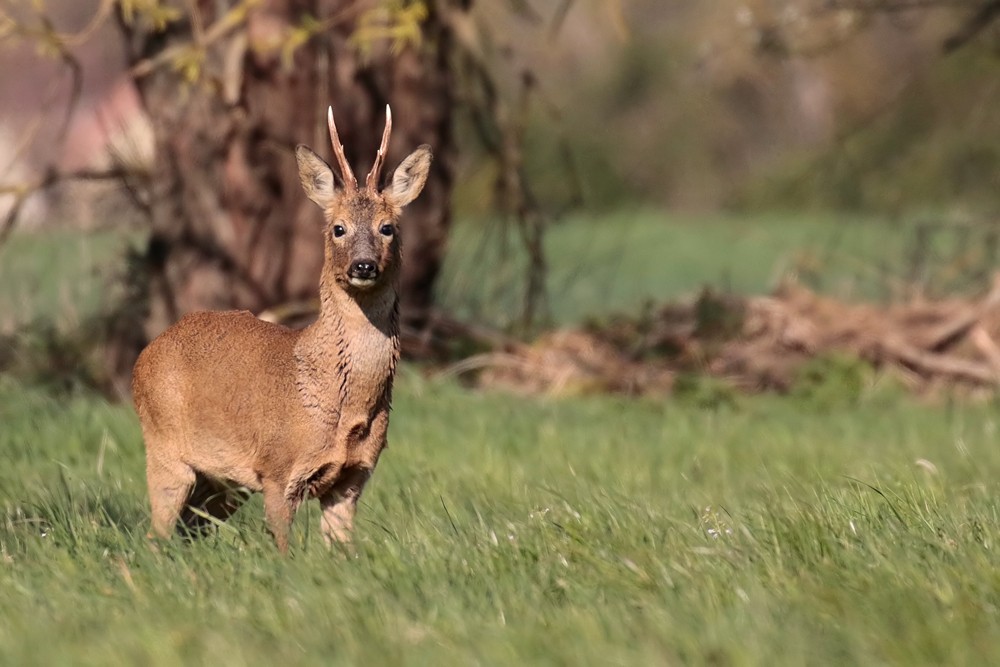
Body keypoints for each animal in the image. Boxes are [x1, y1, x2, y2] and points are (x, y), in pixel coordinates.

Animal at [132, 105, 430, 552]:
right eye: (338, 228)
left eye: (387, 227)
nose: (363, 265)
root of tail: (147, 352)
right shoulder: (277, 470)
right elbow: (282, 550)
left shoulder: (354, 477)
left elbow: (343, 551)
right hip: (165, 446)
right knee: (157, 533)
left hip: (223, 482)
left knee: (189, 528)